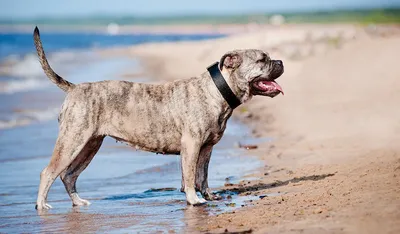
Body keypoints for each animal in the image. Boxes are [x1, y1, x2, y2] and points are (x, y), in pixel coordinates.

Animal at [33, 26, 284, 209]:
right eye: (262, 59)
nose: (281, 62)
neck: (217, 90)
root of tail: (75, 88)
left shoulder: (206, 148)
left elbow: (202, 175)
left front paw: (209, 196)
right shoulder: (191, 145)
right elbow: (190, 175)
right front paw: (194, 199)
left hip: (90, 145)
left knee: (69, 175)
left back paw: (77, 202)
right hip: (72, 141)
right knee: (49, 172)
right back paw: (42, 206)